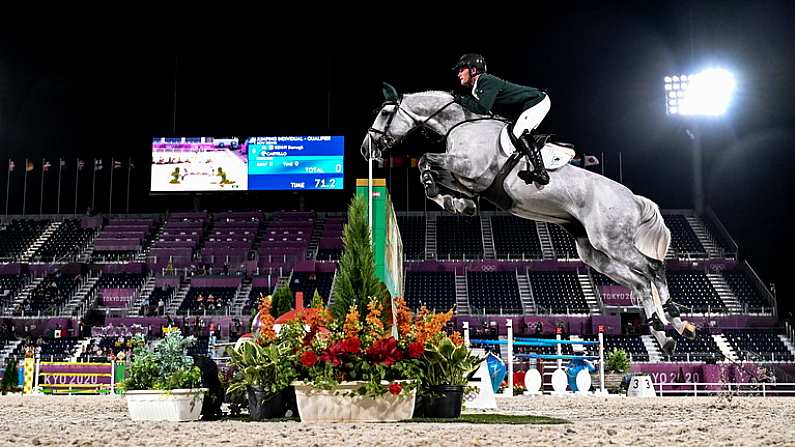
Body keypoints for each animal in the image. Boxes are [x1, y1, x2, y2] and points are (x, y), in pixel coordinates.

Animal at [364, 86, 692, 354]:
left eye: (384, 113)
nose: (366, 148)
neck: (461, 124)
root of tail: (633, 199)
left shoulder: (470, 169)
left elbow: (425, 160)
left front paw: (444, 196)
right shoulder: (467, 179)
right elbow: (435, 172)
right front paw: (458, 204)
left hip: (612, 242)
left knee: (653, 269)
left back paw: (676, 320)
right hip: (595, 253)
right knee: (640, 283)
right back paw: (664, 335)